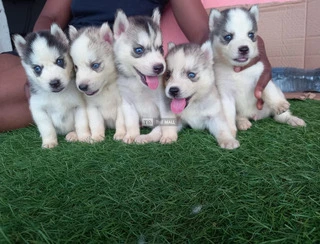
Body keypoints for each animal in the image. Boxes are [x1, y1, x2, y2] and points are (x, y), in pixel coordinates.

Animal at [112, 8, 178, 144]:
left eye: (161, 48)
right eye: (139, 50)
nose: (159, 67)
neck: (138, 83)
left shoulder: (165, 101)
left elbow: (167, 120)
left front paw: (169, 135)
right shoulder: (127, 102)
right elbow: (131, 122)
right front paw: (131, 135)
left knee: (157, 130)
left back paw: (146, 137)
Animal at [208, 5, 304, 135]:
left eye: (250, 35)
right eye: (228, 37)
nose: (244, 49)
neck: (239, 71)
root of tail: (256, 116)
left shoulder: (261, 77)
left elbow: (269, 91)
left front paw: (278, 104)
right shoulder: (225, 93)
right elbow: (228, 113)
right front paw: (229, 131)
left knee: (280, 117)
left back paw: (292, 119)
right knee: (239, 116)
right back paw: (243, 122)